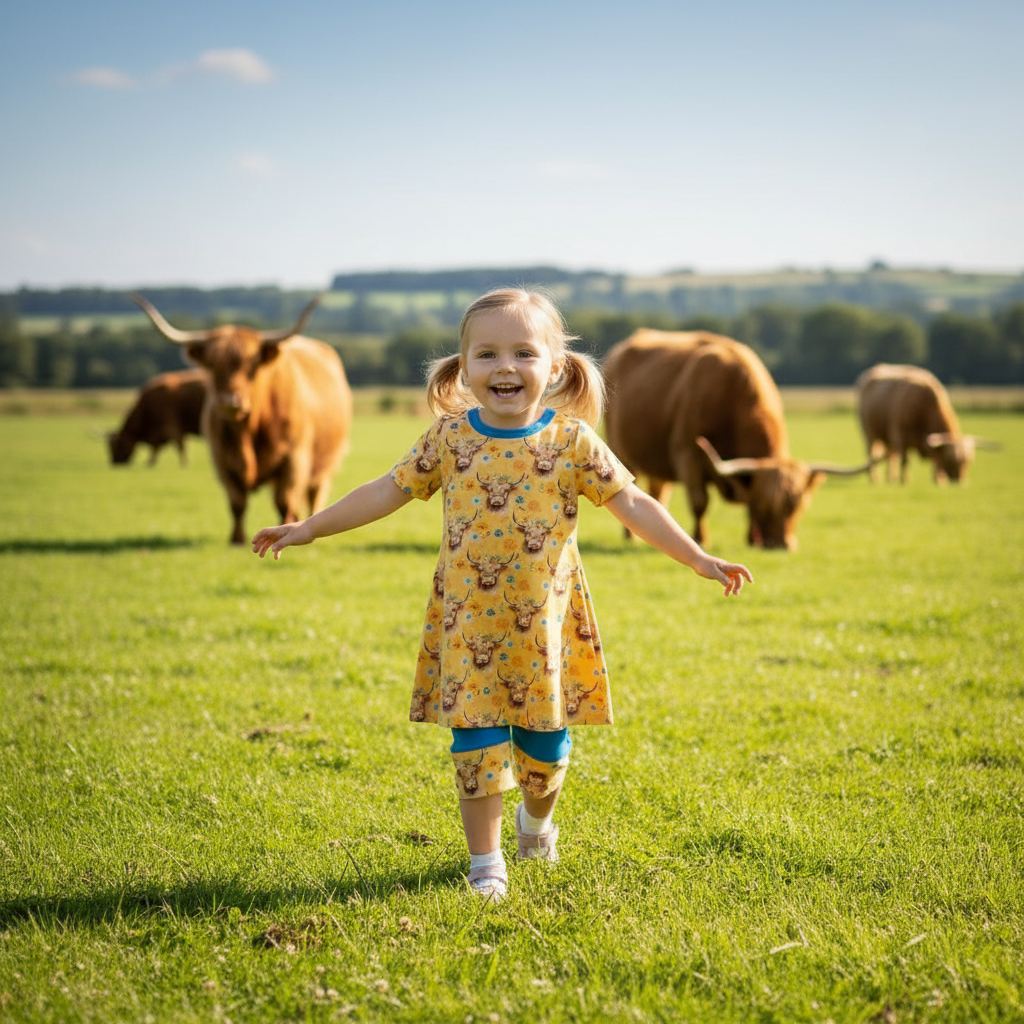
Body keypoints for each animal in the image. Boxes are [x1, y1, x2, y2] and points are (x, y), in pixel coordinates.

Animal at [131, 293, 352, 545]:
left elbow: (284, 499)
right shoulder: (222, 460)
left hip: (325, 461)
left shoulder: (293, 458)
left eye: (252, 366)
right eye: (212, 366)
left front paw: (284, 528)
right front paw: (237, 539)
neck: (248, 432)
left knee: (313, 493)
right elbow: (237, 501)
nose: (230, 401)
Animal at [603, 330, 875, 550]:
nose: (782, 545)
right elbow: (700, 501)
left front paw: (752, 539)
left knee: (658, 492)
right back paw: (631, 537)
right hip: (621, 452)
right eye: (765, 504)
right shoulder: (688, 454)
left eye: (798, 504)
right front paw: (700, 539)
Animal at [856, 363, 993, 483]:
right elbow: (905, 461)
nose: (959, 482)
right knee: (873, 455)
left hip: (886, 436)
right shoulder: (900, 436)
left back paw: (891, 479)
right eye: (951, 460)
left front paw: (939, 481)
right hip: (870, 433)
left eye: (968, 461)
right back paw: (875, 479)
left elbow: (935, 460)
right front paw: (904, 481)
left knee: (891, 457)